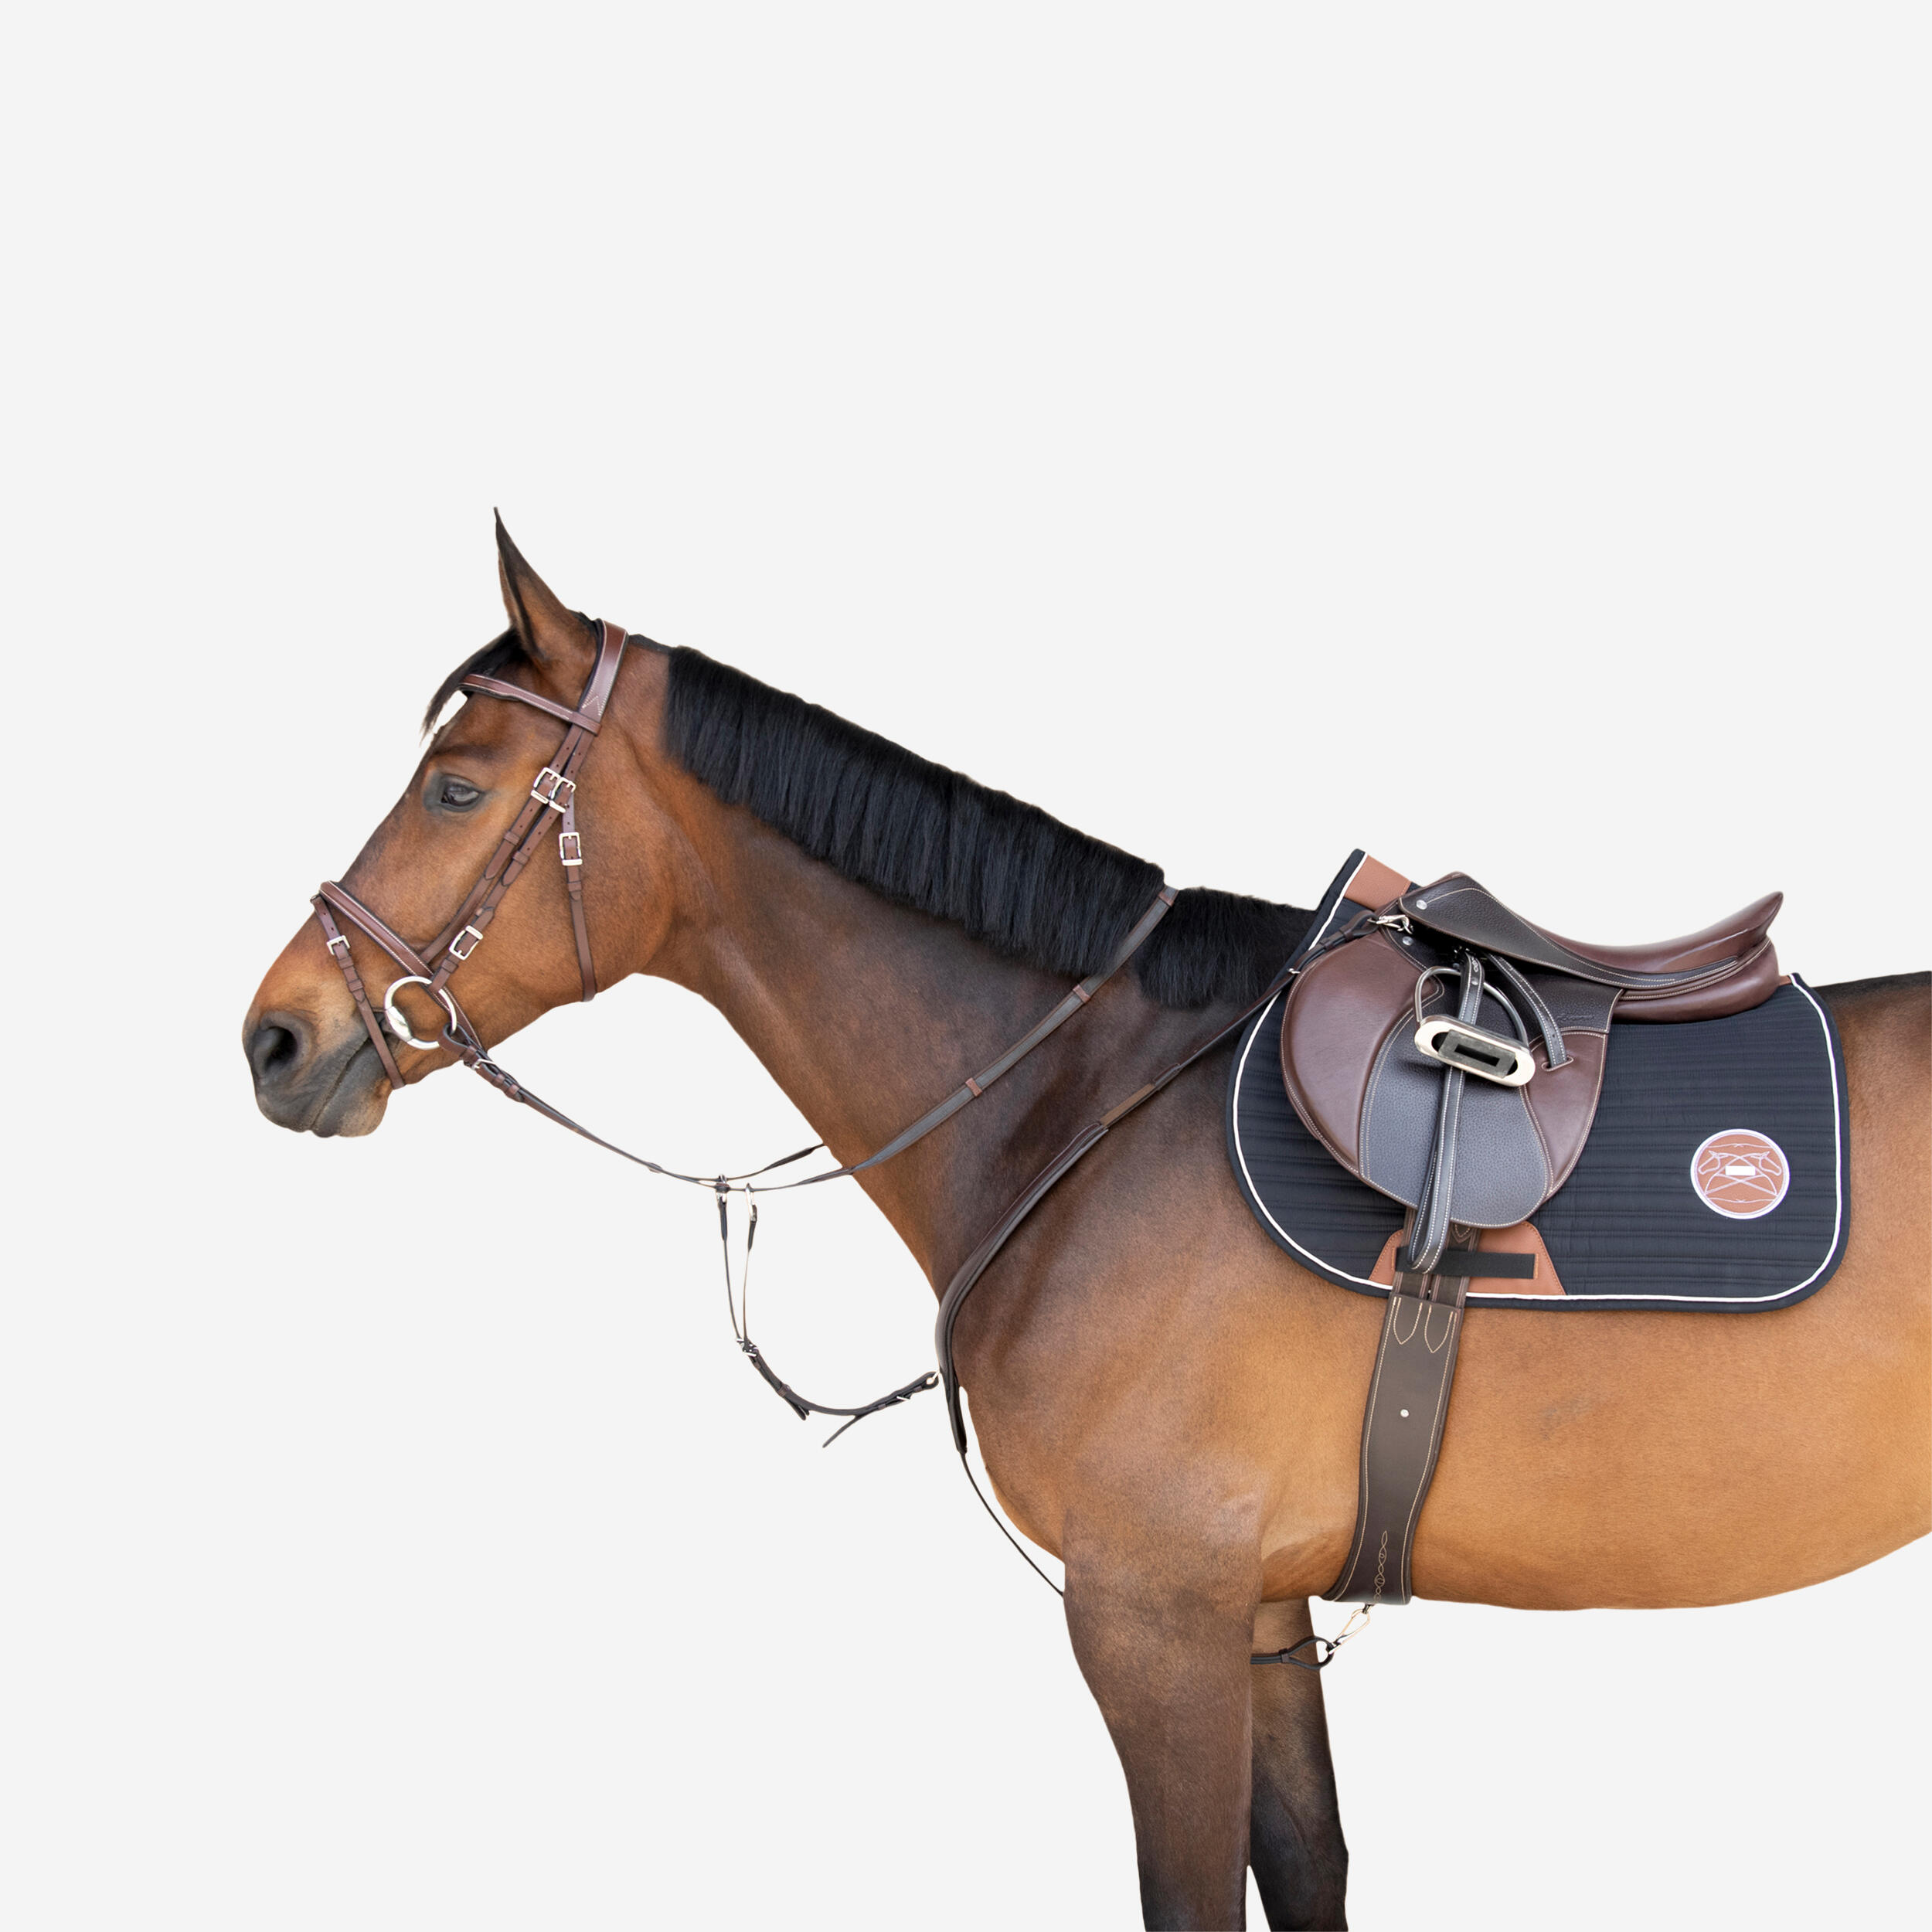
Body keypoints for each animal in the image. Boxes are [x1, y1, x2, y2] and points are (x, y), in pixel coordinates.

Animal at [244, 524, 1930, 1930]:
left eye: (457, 786)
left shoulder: (1150, 1615)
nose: (277, 1035)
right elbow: (1305, 1866)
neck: (1088, 1095)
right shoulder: (1252, 1609)